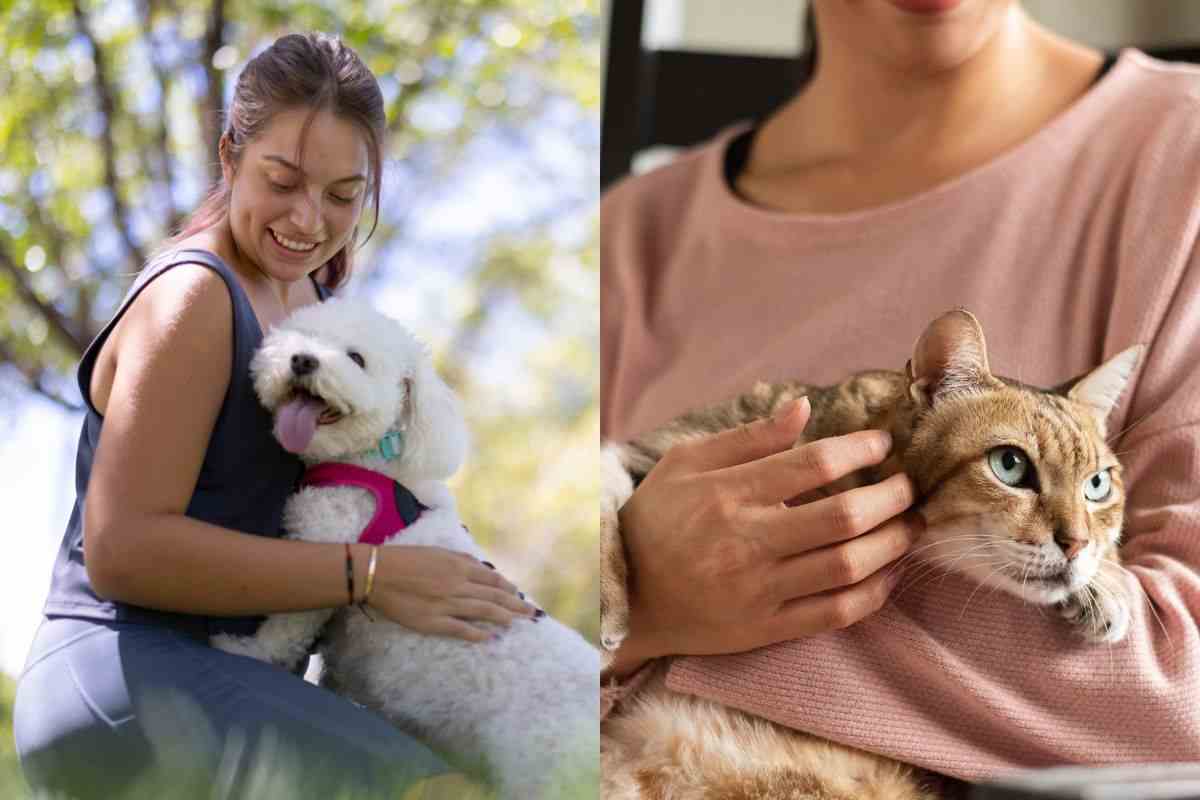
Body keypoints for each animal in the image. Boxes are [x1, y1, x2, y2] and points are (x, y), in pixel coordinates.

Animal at [213, 298, 600, 800]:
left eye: (356, 358)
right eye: (304, 335)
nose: (302, 360)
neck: (375, 465)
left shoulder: (321, 546)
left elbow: (286, 627)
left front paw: (247, 651)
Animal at [600, 309, 1142, 796]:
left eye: (1097, 485)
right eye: (1009, 465)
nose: (1075, 543)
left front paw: (1108, 584)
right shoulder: (656, 449)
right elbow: (606, 496)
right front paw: (608, 604)